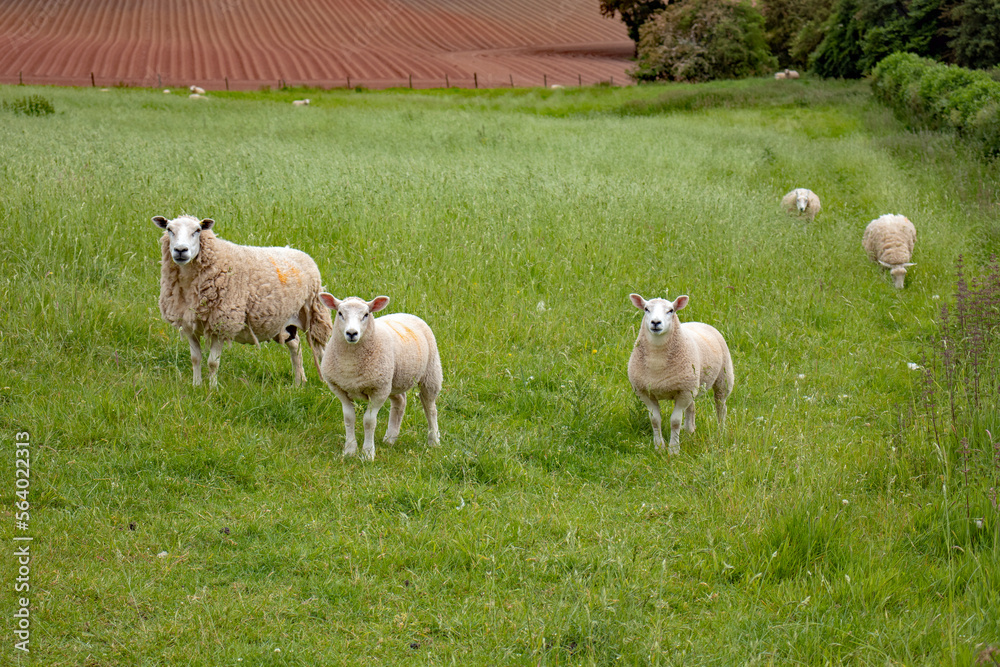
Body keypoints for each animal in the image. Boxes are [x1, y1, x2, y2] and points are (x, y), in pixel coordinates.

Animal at [153, 215, 333, 387]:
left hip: (315, 314)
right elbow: (195, 359)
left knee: (322, 351)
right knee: (295, 345)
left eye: (197, 230)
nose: (180, 250)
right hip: (285, 322)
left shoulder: (222, 323)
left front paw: (213, 389)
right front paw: (196, 386)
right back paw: (298, 382)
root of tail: (300, 253)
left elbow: (212, 363)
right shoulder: (189, 324)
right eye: (169, 229)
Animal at [319, 294, 442, 461]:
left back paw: (434, 440)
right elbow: (349, 418)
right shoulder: (340, 389)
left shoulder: (378, 391)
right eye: (340, 313)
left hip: (430, 373)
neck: (350, 363)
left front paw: (368, 453)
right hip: (393, 380)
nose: (351, 333)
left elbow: (369, 421)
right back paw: (390, 438)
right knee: (400, 402)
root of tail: (406, 314)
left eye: (366, 314)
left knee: (430, 408)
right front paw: (349, 450)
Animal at [628, 293, 734, 455]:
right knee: (692, 407)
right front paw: (659, 447)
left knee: (721, 406)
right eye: (646, 309)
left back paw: (720, 432)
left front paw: (673, 450)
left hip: (723, 379)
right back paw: (689, 430)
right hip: (692, 384)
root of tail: (698, 322)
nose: (655, 322)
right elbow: (655, 420)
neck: (657, 364)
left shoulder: (683, 392)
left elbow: (675, 421)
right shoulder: (645, 392)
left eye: (671, 310)